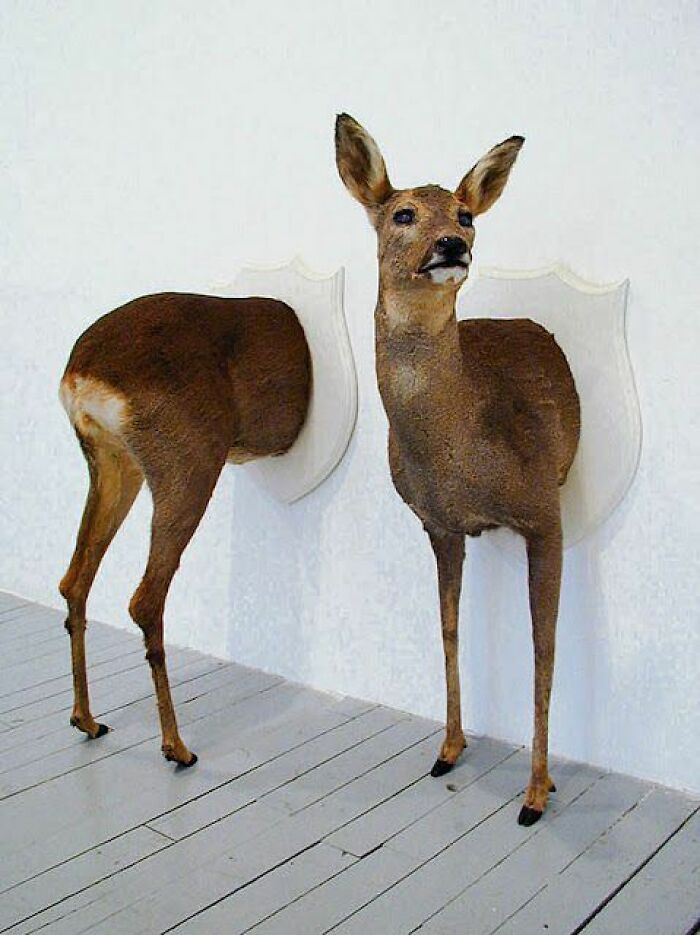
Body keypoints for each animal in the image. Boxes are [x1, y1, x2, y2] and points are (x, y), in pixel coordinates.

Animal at [59, 293, 311, 766]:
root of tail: (83, 375)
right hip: (188, 464)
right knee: (144, 599)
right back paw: (176, 746)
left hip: (112, 461)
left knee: (74, 580)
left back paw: (87, 719)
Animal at [335, 114, 580, 825]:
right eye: (402, 212)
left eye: (467, 214)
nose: (451, 244)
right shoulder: (439, 525)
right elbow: (448, 625)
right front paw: (448, 748)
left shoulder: (544, 516)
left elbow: (544, 646)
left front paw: (535, 792)